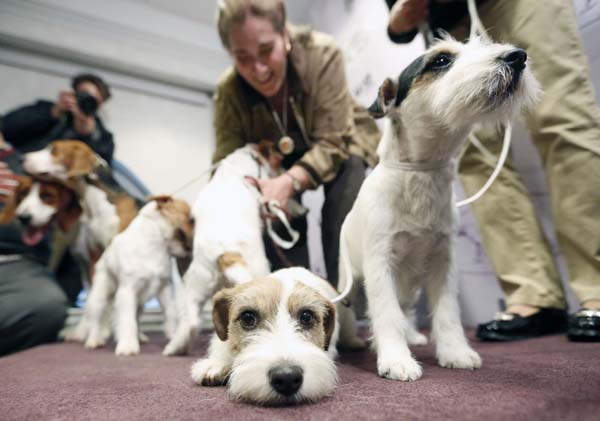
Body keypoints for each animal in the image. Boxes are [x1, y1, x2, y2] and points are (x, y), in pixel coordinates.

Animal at [67, 195, 195, 352]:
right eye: (191, 220)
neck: (156, 244)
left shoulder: (164, 289)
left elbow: (169, 314)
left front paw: (174, 336)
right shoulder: (127, 291)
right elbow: (127, 320)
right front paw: (127, 346)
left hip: (139, 304)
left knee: (136, 319)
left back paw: (139, 337)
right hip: (99, 298)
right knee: (96, 320)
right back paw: (94, 340)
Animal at [190, 268, 364, 406]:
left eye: (306, 317)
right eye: (248, 318)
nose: (287, 378)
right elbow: (222, 344)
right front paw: (216, 363)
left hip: (348, 317)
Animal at [338, 37, 540, 380]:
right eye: (441, 60)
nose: (518, 57)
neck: (420, 174)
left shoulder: (443, 262)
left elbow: (447, 313)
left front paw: (455, 351)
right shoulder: (380, 263)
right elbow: (385, 312)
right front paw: (396, 358)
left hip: (409, 284)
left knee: (405, 308)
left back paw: (412, 335)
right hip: (350, 281)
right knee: (351, 311)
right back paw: (352, 340)